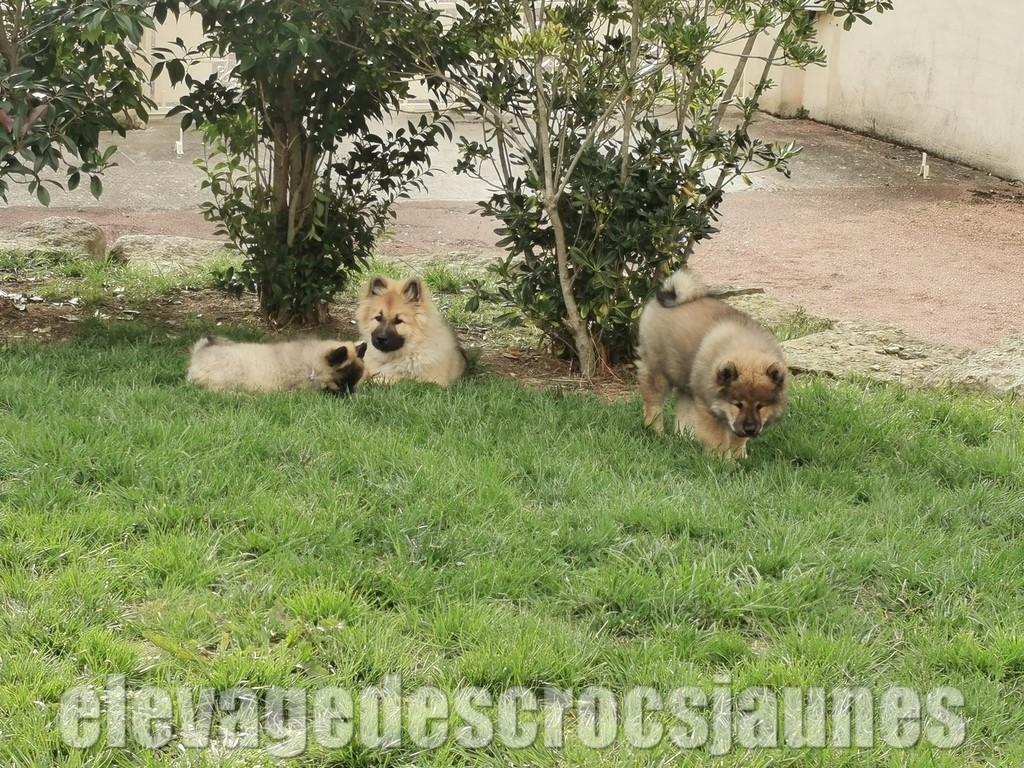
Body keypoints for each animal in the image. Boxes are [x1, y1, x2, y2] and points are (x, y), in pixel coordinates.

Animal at [187, 336, 367, 395]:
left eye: (353, 384)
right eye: (340, 383)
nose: (348, 394)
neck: (312, 367)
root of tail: (199, 354)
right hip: (232, 377)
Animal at [635, 269, 788, 459]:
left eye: (761, 406)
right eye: (738, 404)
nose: (750, 429)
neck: (747, 348)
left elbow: (738, 438)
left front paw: (740, 457)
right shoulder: (707, 406)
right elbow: (716, 437)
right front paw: (722, 459)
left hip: (688, 381)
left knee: (682, 409)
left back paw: (684, 439)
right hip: (657, 372)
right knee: (654, 404)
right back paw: (657, 432)